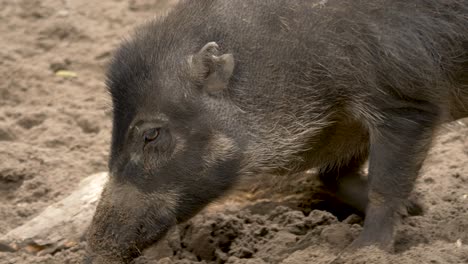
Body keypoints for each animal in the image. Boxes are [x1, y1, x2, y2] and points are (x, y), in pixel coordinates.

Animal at [84, 0, 468, 262]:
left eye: (150, 134)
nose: (93, 256)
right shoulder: (347, 125)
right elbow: (333, 177)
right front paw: (420, 206)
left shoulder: (406, 104)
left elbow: (384, 187)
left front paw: (363, 251)